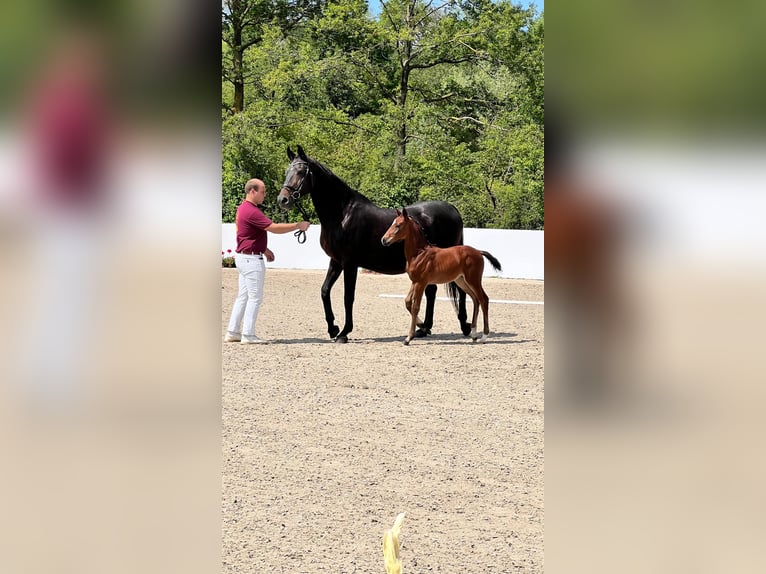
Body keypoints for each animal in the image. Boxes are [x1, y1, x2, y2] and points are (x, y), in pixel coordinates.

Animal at [278, 148, 468, 344]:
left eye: (301, 172)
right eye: (287, 171)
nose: (283, 199)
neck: (342, 215)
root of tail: (453, 210)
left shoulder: (350, 264)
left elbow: (348, 297)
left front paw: (344, 332)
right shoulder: (336, 261)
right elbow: (324, 291)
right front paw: (333, 329)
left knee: (460, 291)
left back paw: (465, 326)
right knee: (432, 291)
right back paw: (425, 328)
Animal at [384, 210, 504, 348]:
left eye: (398, 225)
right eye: (392, 223)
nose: (384, 240)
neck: (419, 254)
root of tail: (478, 252)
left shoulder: (421, 283)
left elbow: (415, 307)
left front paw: (409, 338)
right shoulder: (414, 281)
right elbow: (407, 302)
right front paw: (423, 327)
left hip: (473, 280)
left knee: (484, 299)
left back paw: (484, 336)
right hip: (461, 281)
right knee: (475, 299)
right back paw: (474, 334)